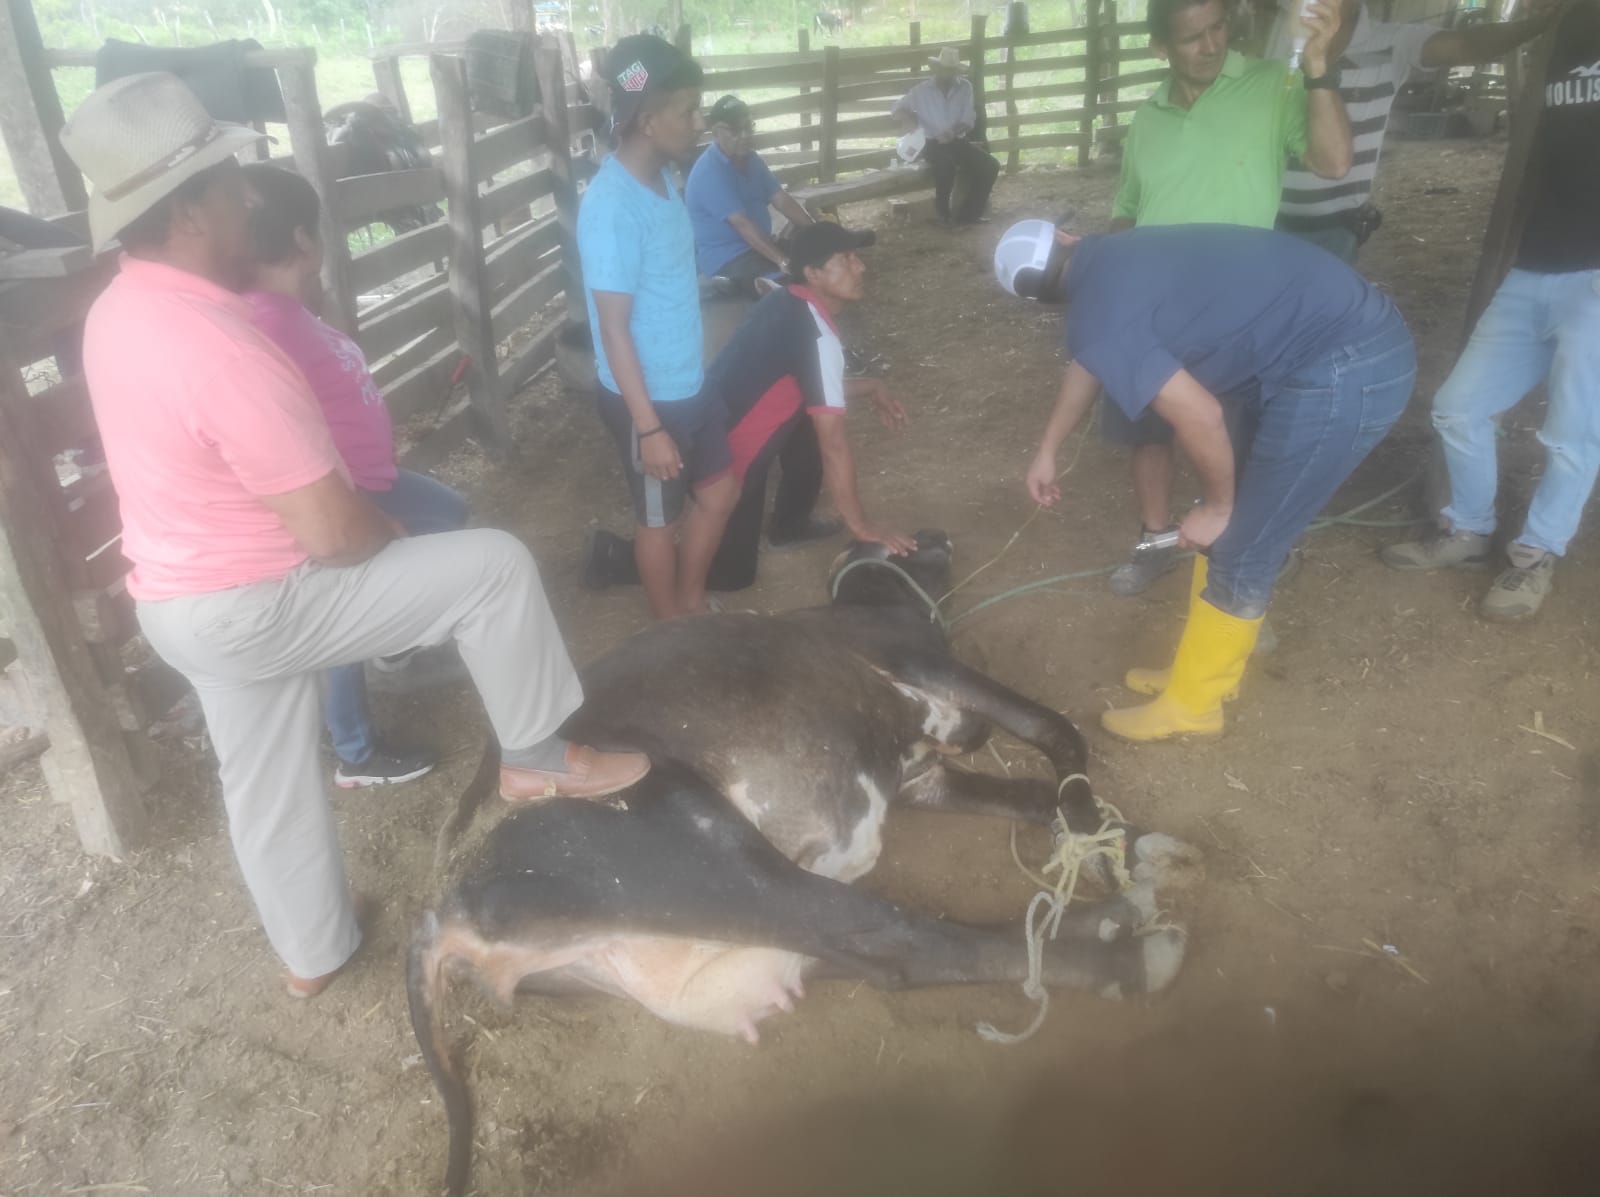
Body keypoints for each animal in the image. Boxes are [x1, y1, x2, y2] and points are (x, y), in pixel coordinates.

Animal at [408, 532, 1199, 1196]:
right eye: (903, 546)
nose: (939, 538)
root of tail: (443, 901)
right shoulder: (928, 666)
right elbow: (1057, 734)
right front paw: (1100, 837)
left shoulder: (923, 776)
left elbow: (1034, 795)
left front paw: (1114, 840)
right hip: (711, 858)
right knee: (909, 943)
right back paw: (1129, 947)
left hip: (706, 934)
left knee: (871, 953)